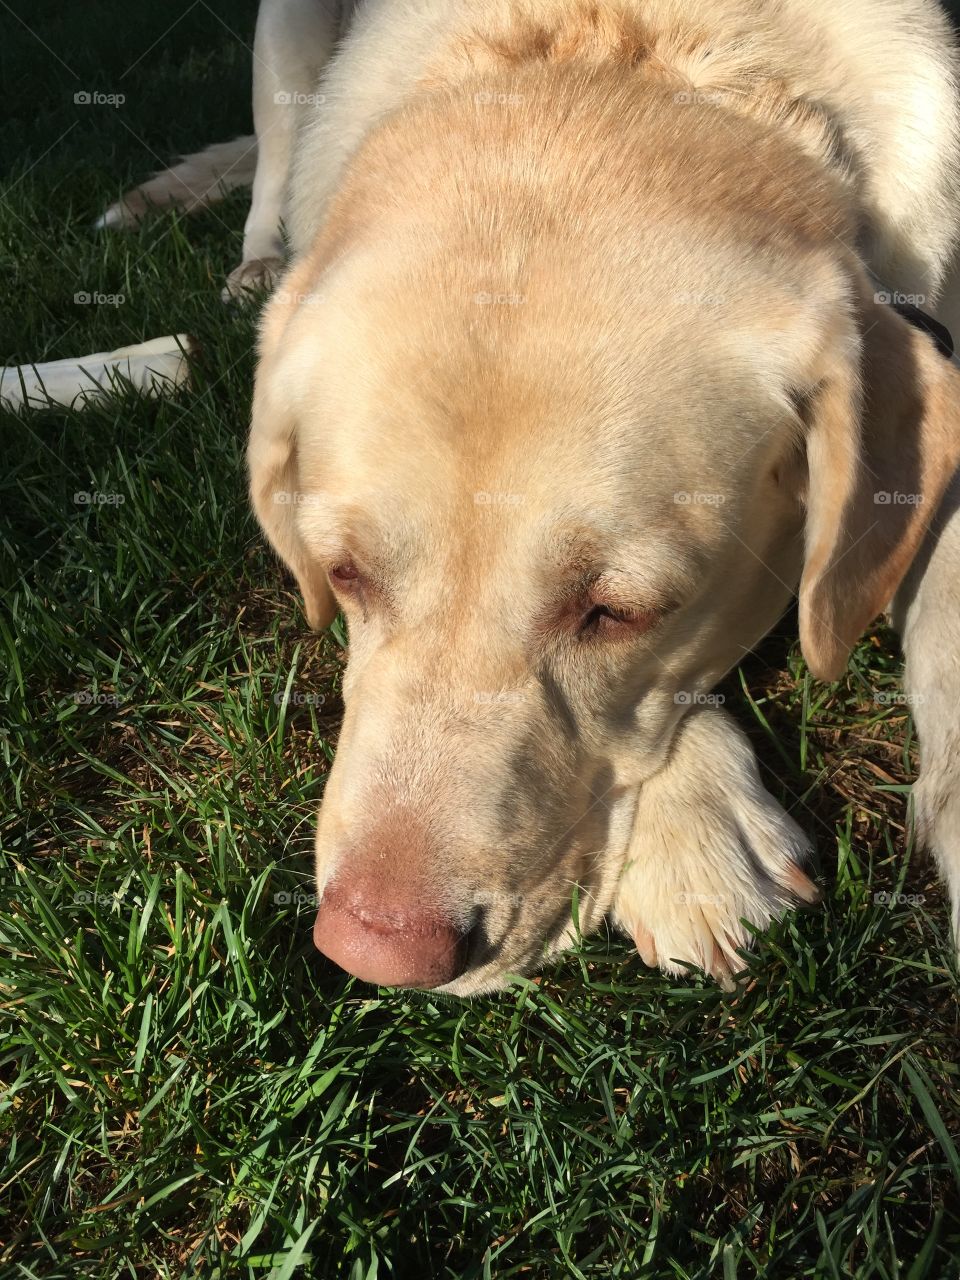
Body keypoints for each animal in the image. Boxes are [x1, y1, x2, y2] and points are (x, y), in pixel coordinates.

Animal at [108, 0, 960, 988]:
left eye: (618, 612)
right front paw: (696, 830)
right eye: (344, 574)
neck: (617, 50)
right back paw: (254, 261)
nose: (375, 953)